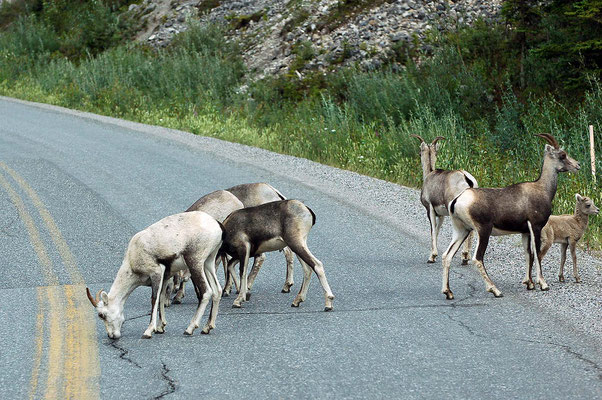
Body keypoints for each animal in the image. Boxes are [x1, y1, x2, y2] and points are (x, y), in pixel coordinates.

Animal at [86, 211, 223, 340]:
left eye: (102, 315)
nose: (111, 336)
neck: (133, 256)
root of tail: (216, 224)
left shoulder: (156, 273)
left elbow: (154, 299)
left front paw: (148, 331)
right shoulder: (165, 277)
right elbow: (161, 297)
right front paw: (160, 328)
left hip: (195, 263)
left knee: (207, 292)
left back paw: (190, 329)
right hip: (208, 263)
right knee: (217, 290)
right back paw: (207, 328)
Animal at [410, 136, 476, 264]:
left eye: (420, 153)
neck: (430, 175)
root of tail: (466, 179)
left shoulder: (430, 209)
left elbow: (433, 231)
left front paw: (432, 257)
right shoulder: (440, 215)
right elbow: (437, 230)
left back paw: (464, 256)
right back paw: (465, 257)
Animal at [438, 135, 580, 300]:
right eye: (562, 155)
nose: (578, 165)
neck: (542, 189)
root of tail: (458, 199)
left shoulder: (525, 232)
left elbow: (529, 254)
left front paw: (530, 284)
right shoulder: (536, 227)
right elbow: (537, 254)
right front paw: (543, 284)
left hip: (462, 230)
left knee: (446, 256)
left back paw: (448, 292)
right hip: (483, 231)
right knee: (477, 258)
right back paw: (495, 290)